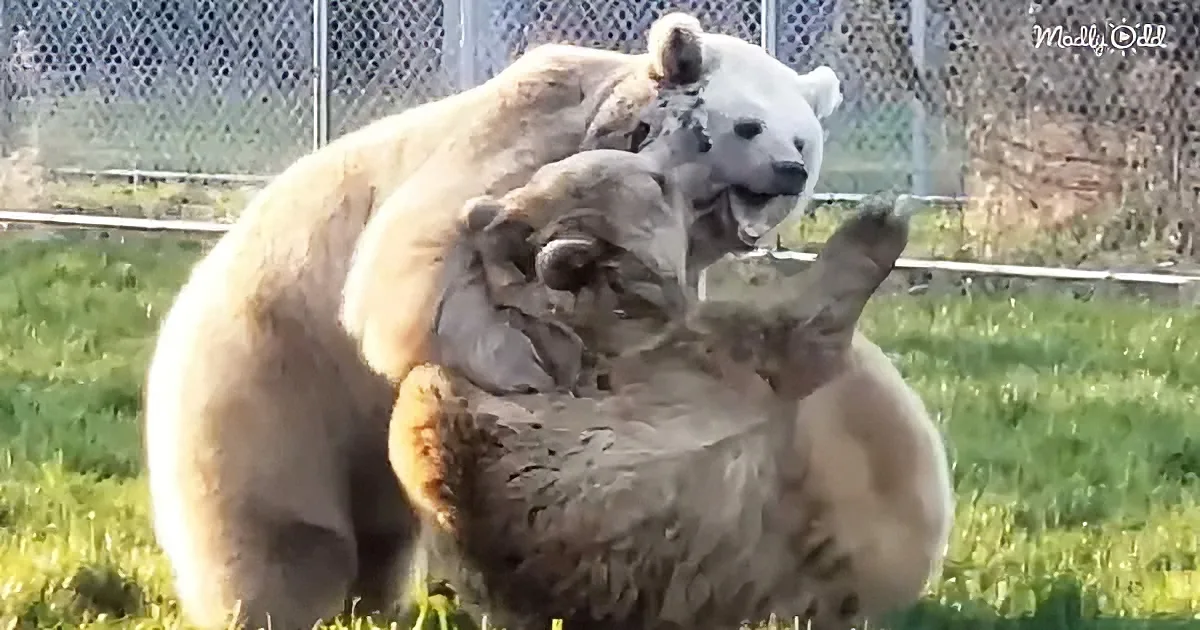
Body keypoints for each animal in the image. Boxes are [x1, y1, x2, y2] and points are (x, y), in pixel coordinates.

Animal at [142, 11, 844, 630]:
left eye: (803, 137)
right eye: (749, 126)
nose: (790, 171)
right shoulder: (528, 147)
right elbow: (419, 260)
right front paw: (531, 371)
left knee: (382, 534)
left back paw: (377, 601)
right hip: (267, 383)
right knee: (281, 533)